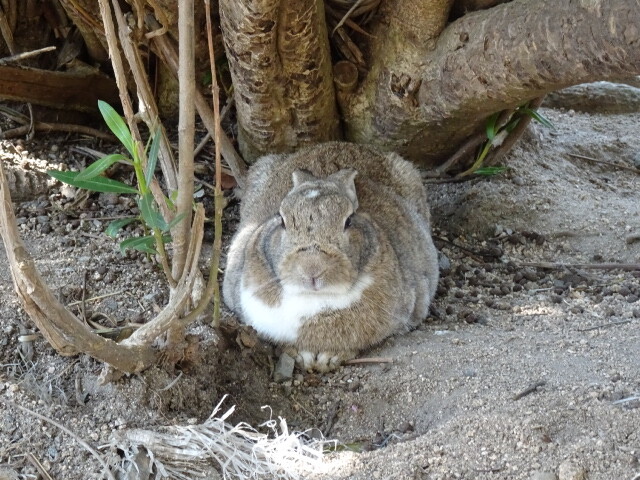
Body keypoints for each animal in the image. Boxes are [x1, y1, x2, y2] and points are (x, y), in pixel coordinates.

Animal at [222, 141, 438, 374]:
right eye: (282, 220)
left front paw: (328, 358)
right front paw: (304, 357)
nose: (312, 269)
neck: (317, 298)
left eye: (348, 221)